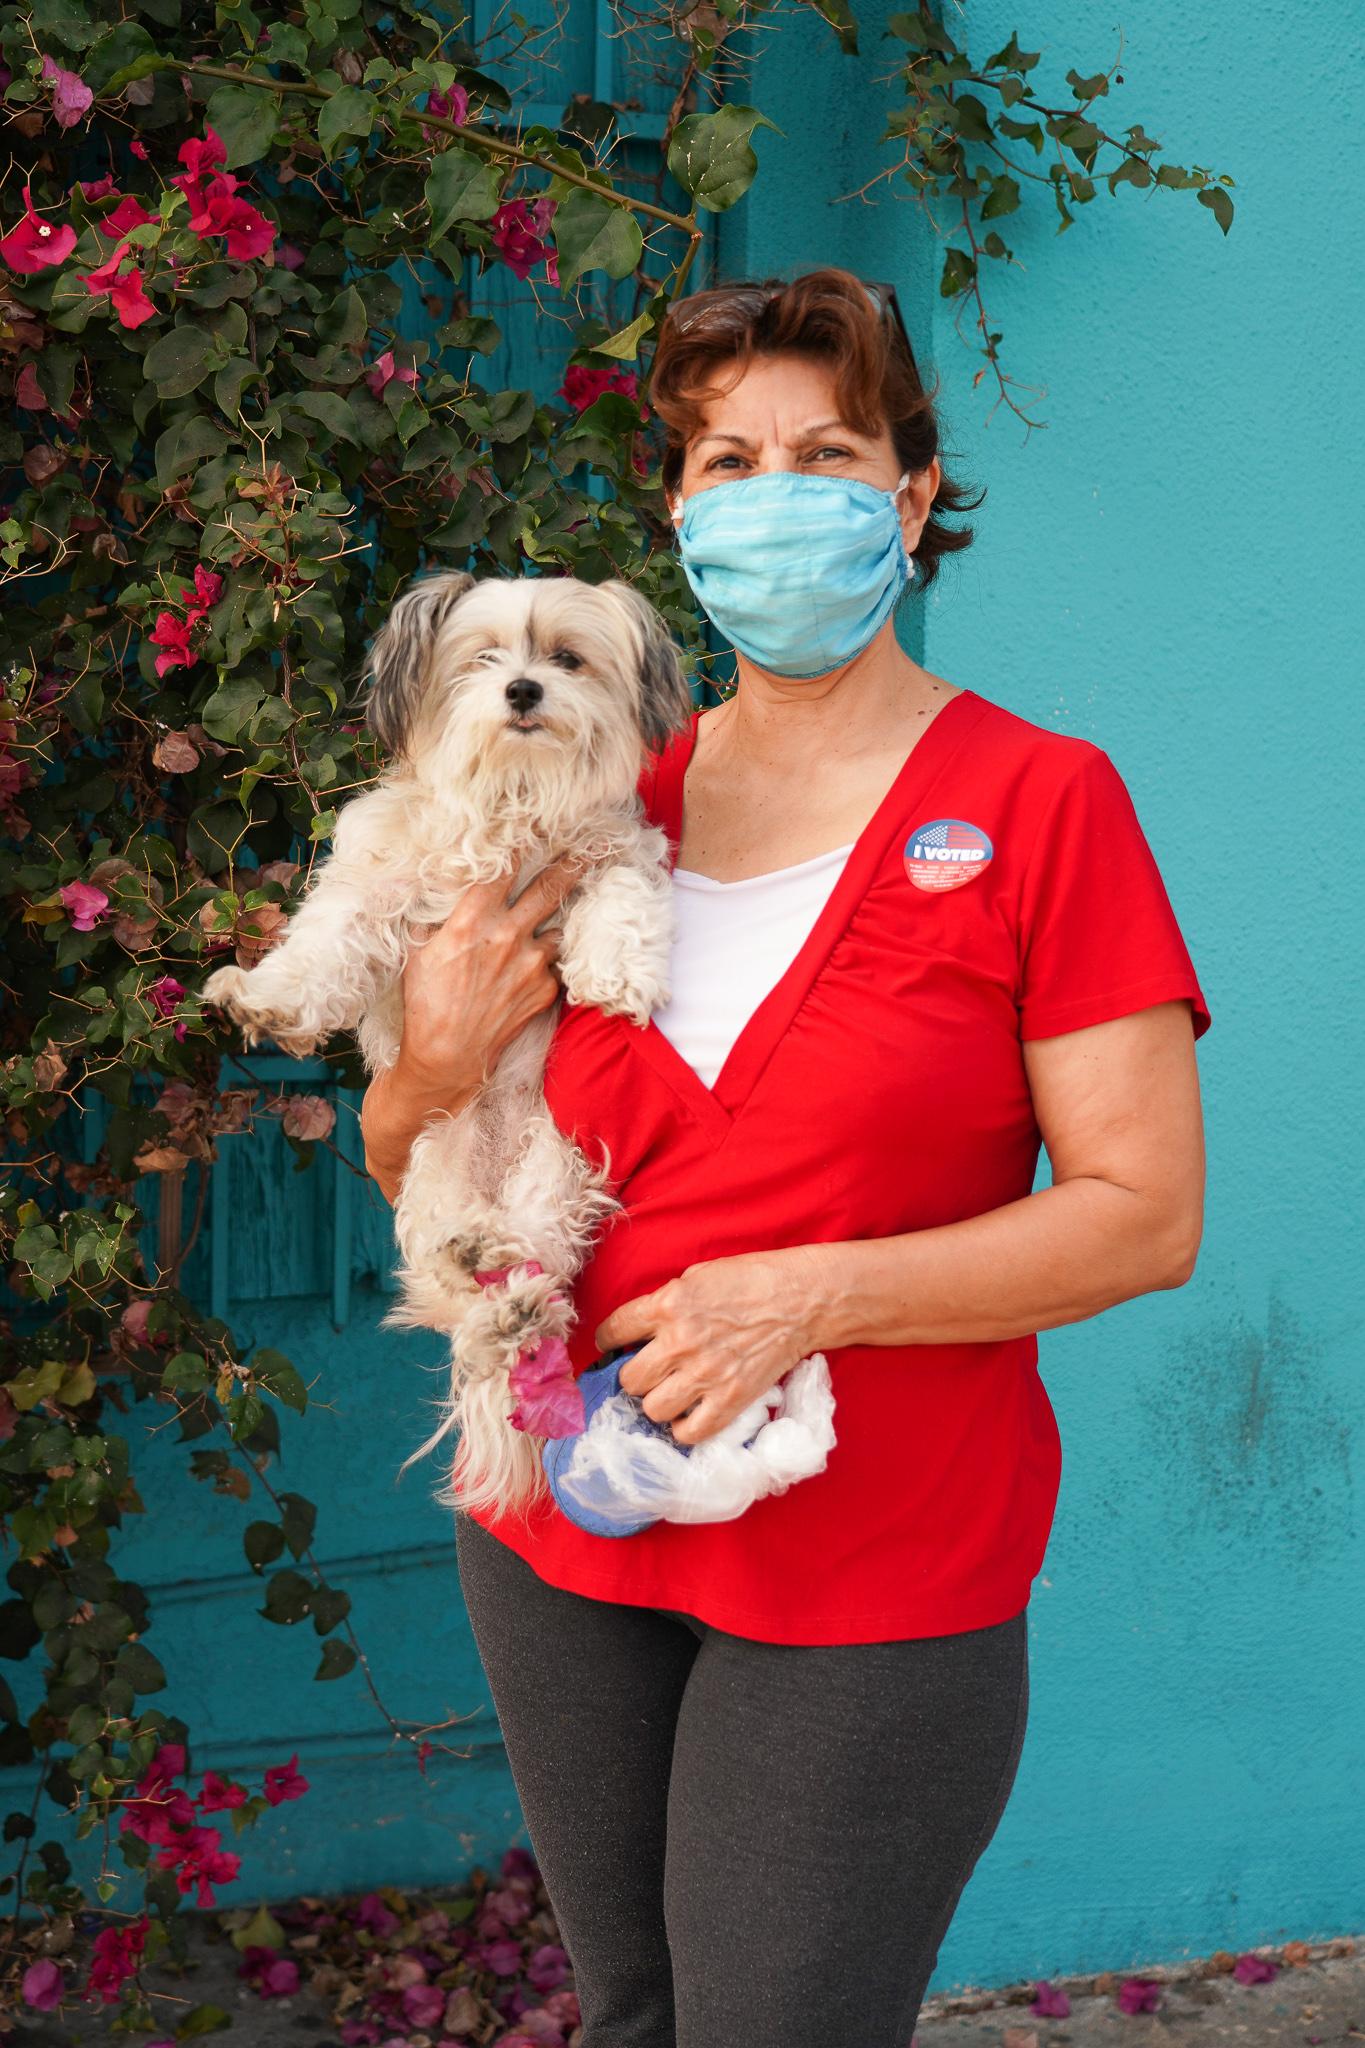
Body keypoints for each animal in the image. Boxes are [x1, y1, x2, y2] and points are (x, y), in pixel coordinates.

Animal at [205, 569, 695, 1515]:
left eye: (566, 659)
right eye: (483, 658)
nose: (524, 690)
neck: (514, 799)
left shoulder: (614, 850)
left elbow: (621, 892)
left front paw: (615, 969)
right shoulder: (378, 884)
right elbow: (324, 945)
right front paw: (268, 1002)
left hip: (555, 1163)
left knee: (534, 1259)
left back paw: (511, 1301)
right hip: (432, 1168)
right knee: (449, 1282)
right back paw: (480, 1283)